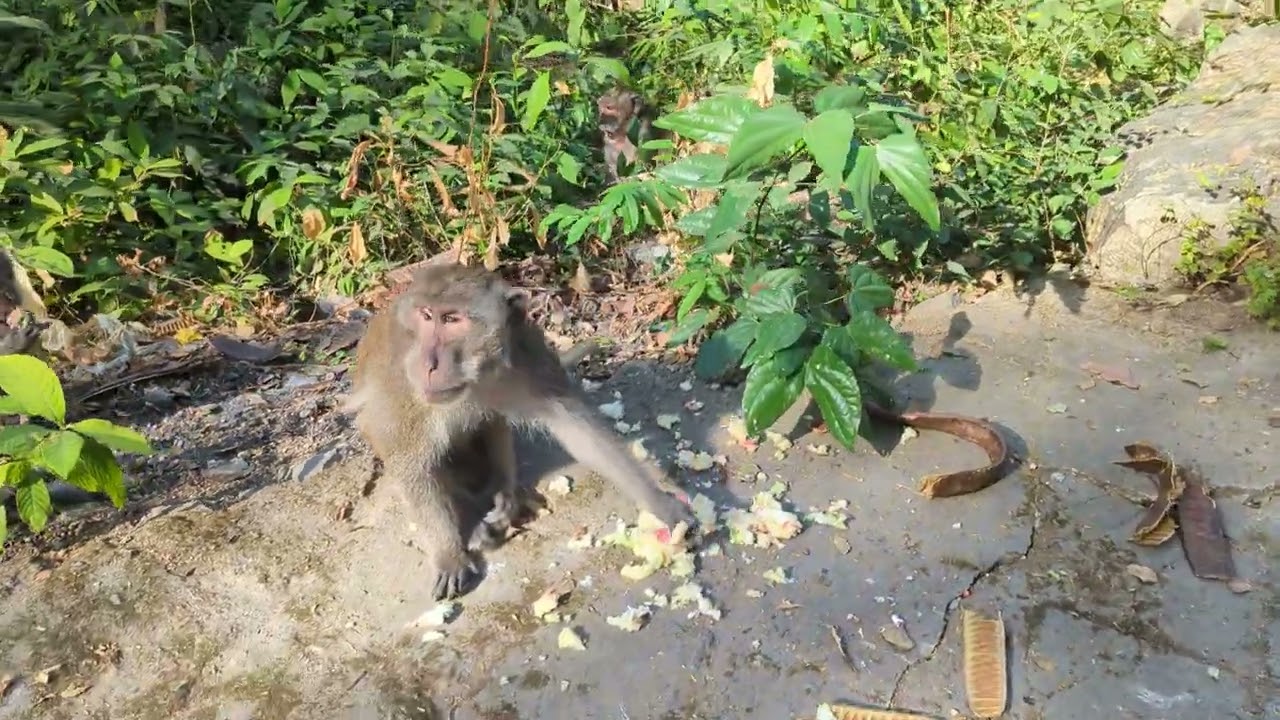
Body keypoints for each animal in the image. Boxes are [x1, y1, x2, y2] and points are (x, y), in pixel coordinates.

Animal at [345, 260, 690, 600]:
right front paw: (449, 555)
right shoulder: (403, 385)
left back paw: (504, 495)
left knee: (492, 423)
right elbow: (411, 463)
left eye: (452, 319)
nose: (429, 364)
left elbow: (575, 426)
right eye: (426, 316)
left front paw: (658, 501)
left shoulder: (524, 349)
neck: (477, 376)